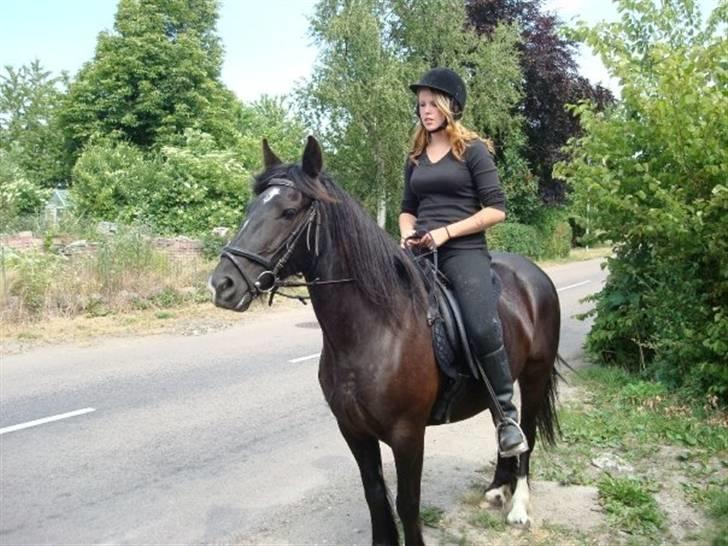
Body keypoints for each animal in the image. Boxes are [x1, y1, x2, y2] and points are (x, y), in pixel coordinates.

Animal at [209, 136, 562, 545]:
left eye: (289, 211)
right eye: (251, 208)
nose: (222, 285)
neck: (373, 333)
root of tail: (534, 275)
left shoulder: (407, 434)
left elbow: (407, 502)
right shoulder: (353, 431)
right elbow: (375, 494)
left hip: (534, 377)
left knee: (528, 434)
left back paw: (519, 507)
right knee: (504, 421)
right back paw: (496, 489)